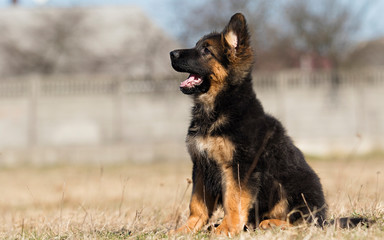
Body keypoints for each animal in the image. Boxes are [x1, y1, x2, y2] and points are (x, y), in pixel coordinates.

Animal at [170, 12, 366, 234]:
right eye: (197, 46)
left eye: (206, 50)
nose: (172, 54)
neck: (220, 106)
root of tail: (325, 219)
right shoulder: (201, 166)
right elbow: (197, 204)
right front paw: (186, 229)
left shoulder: (240, 167)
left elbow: (233, 200)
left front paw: (227, 229)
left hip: (294, 188)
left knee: (304, 221)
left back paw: (272, 223)